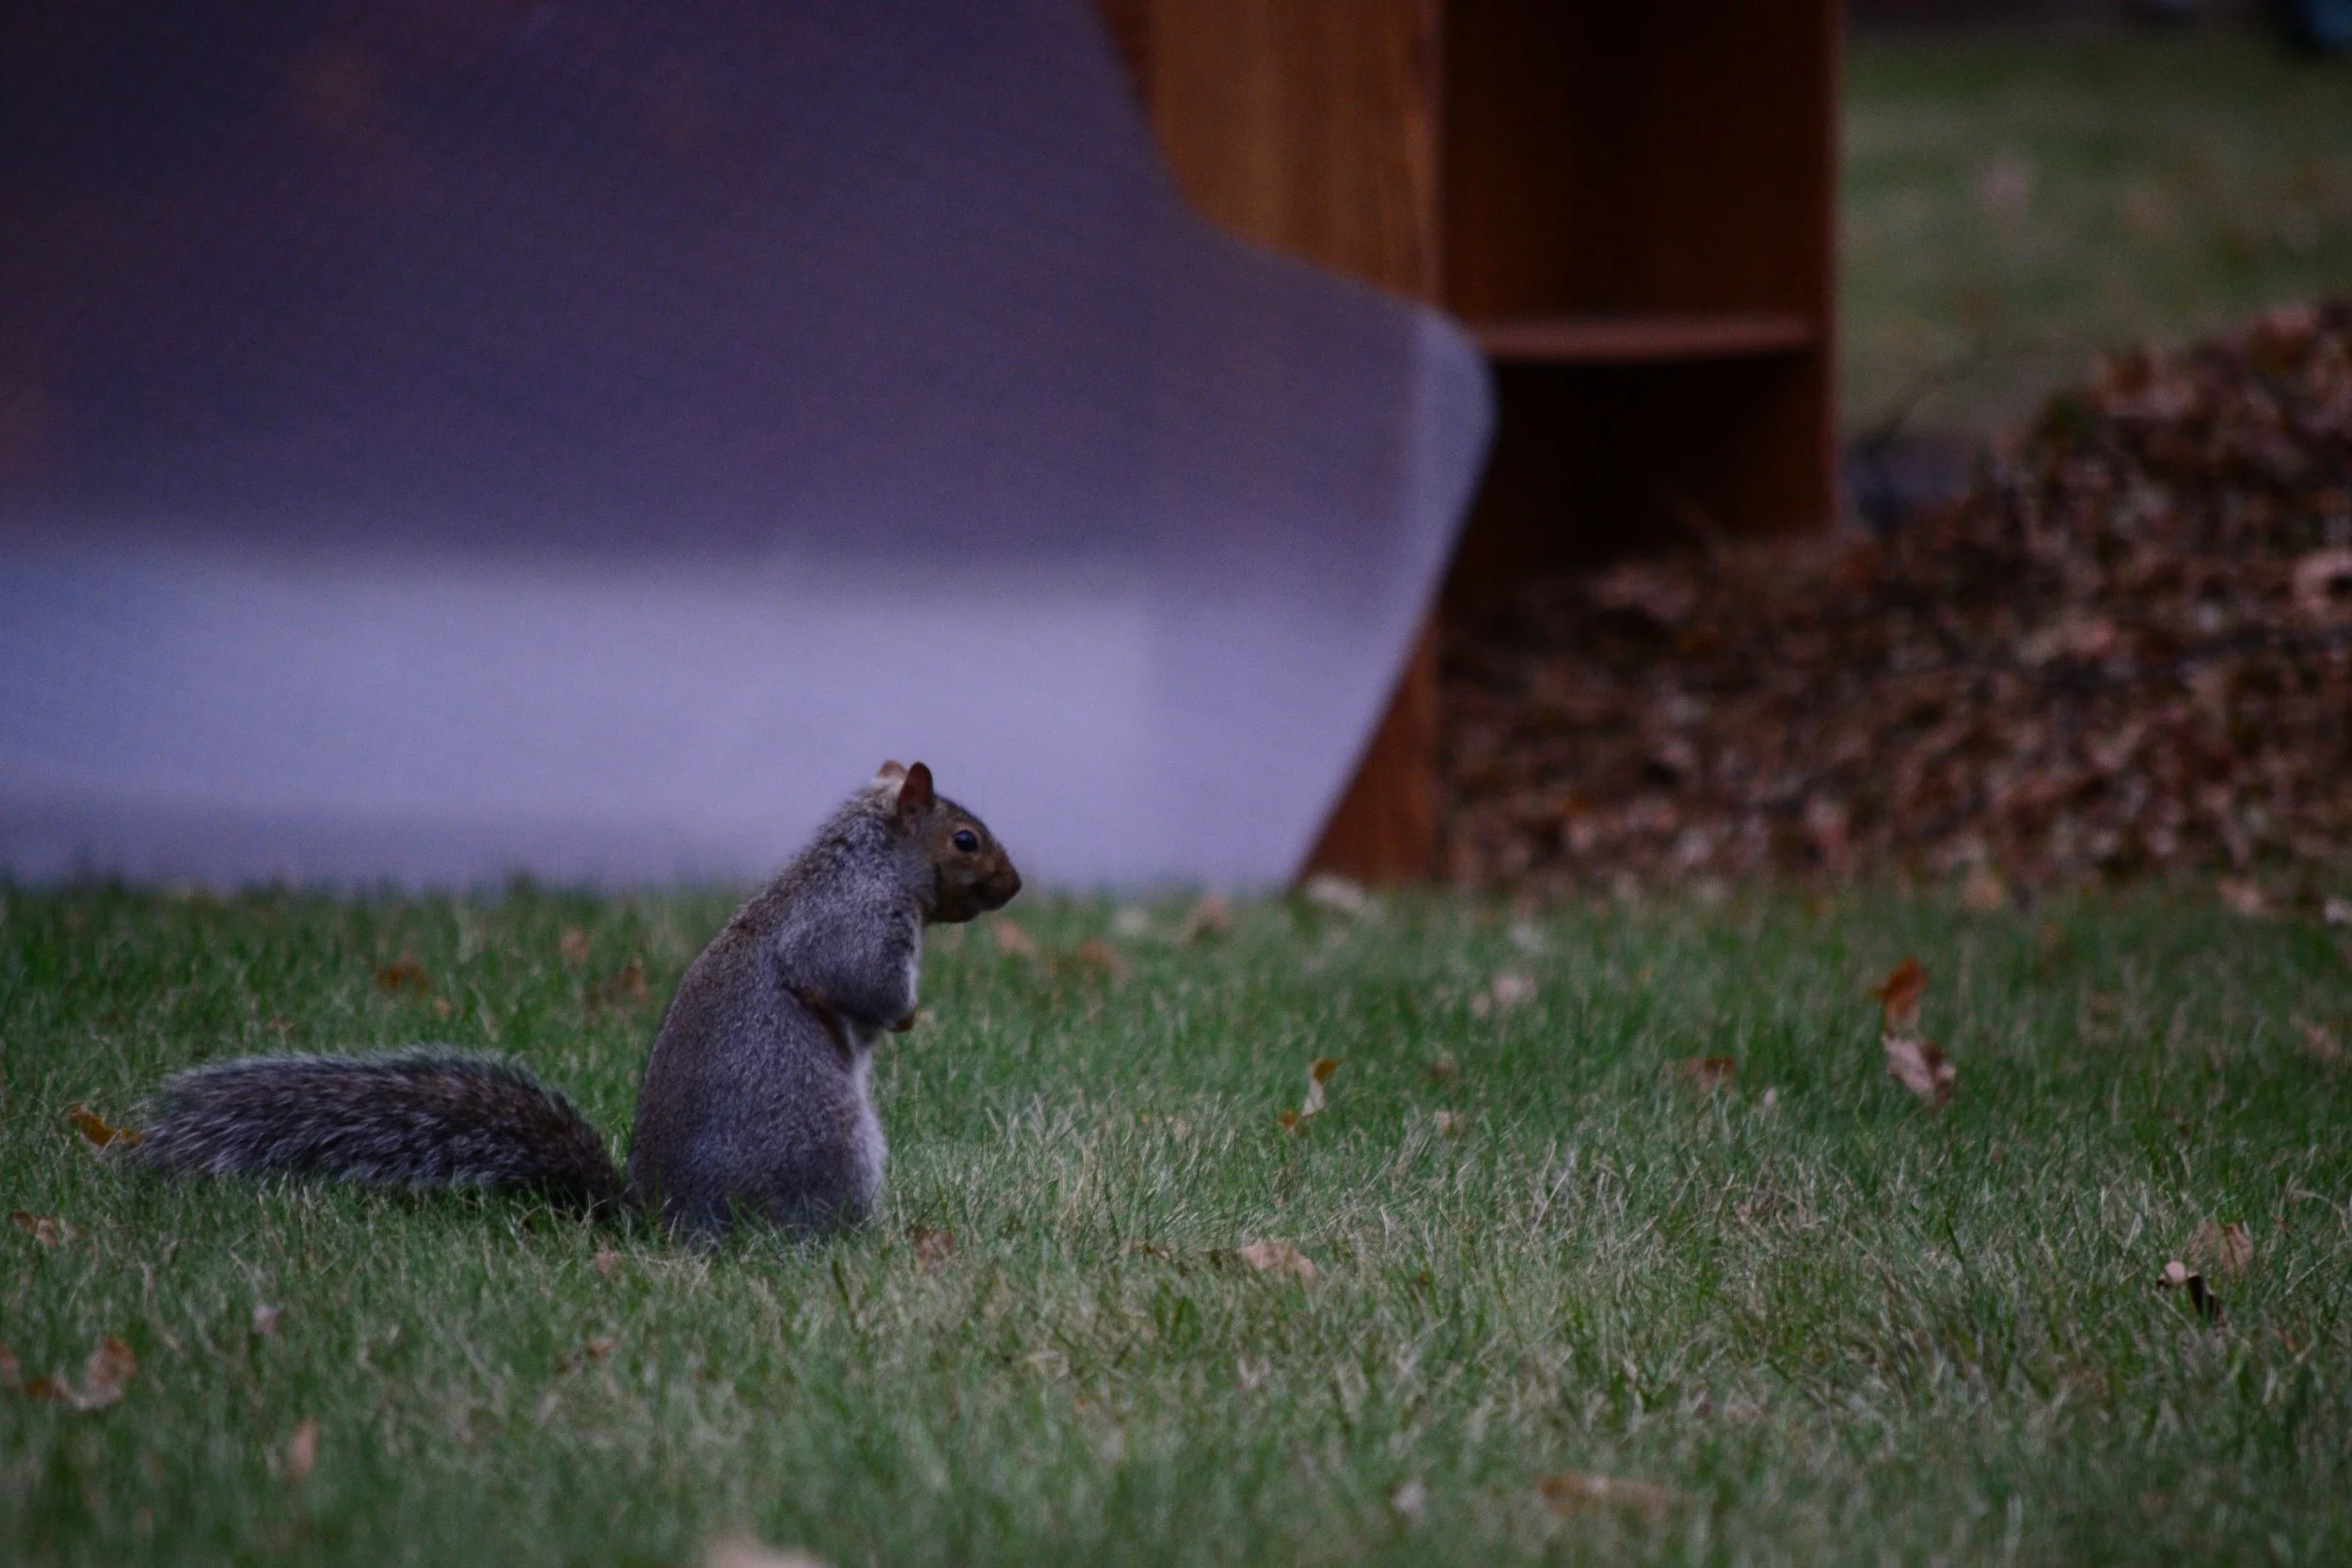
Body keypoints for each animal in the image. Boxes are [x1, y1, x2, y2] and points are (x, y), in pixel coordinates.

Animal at [130, 761, 1020, 1242]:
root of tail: (657, 1220)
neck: (871, 856)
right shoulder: (854, 920)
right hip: (833, 1146)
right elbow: (861, 980)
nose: (1014, 885)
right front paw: (906, 1015)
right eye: (965, 839)